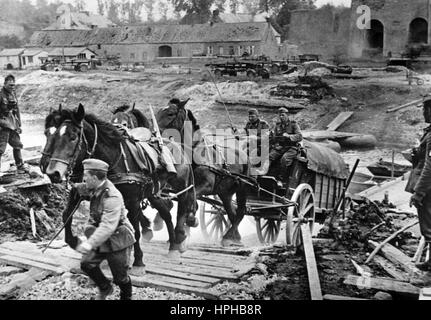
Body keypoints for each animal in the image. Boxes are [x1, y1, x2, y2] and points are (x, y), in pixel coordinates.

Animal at [41, 104, 197, 264]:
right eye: (48, 134)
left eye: (73, 137)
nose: (52, 172)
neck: (112, 160)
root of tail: (178, 146)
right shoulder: (80, 190)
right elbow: (66, 215)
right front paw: (75, 241)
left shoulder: (132, 201)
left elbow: (135, 230)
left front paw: (138, 261)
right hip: (153, 193)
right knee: (166, 213)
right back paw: (172, 243)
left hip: (182, 188)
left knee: (181, 210)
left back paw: (178, 241)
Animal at [158, 97, 250, 245]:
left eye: (170, 113)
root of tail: (242, 153)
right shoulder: (184, 186)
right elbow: (187, 201)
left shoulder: (206, 186)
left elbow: (191, 198)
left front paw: (190, 221)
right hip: (225, 193)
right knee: (232, 212)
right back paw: (234, 236)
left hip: (242, 188)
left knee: (241, 211)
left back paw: (229, 236)